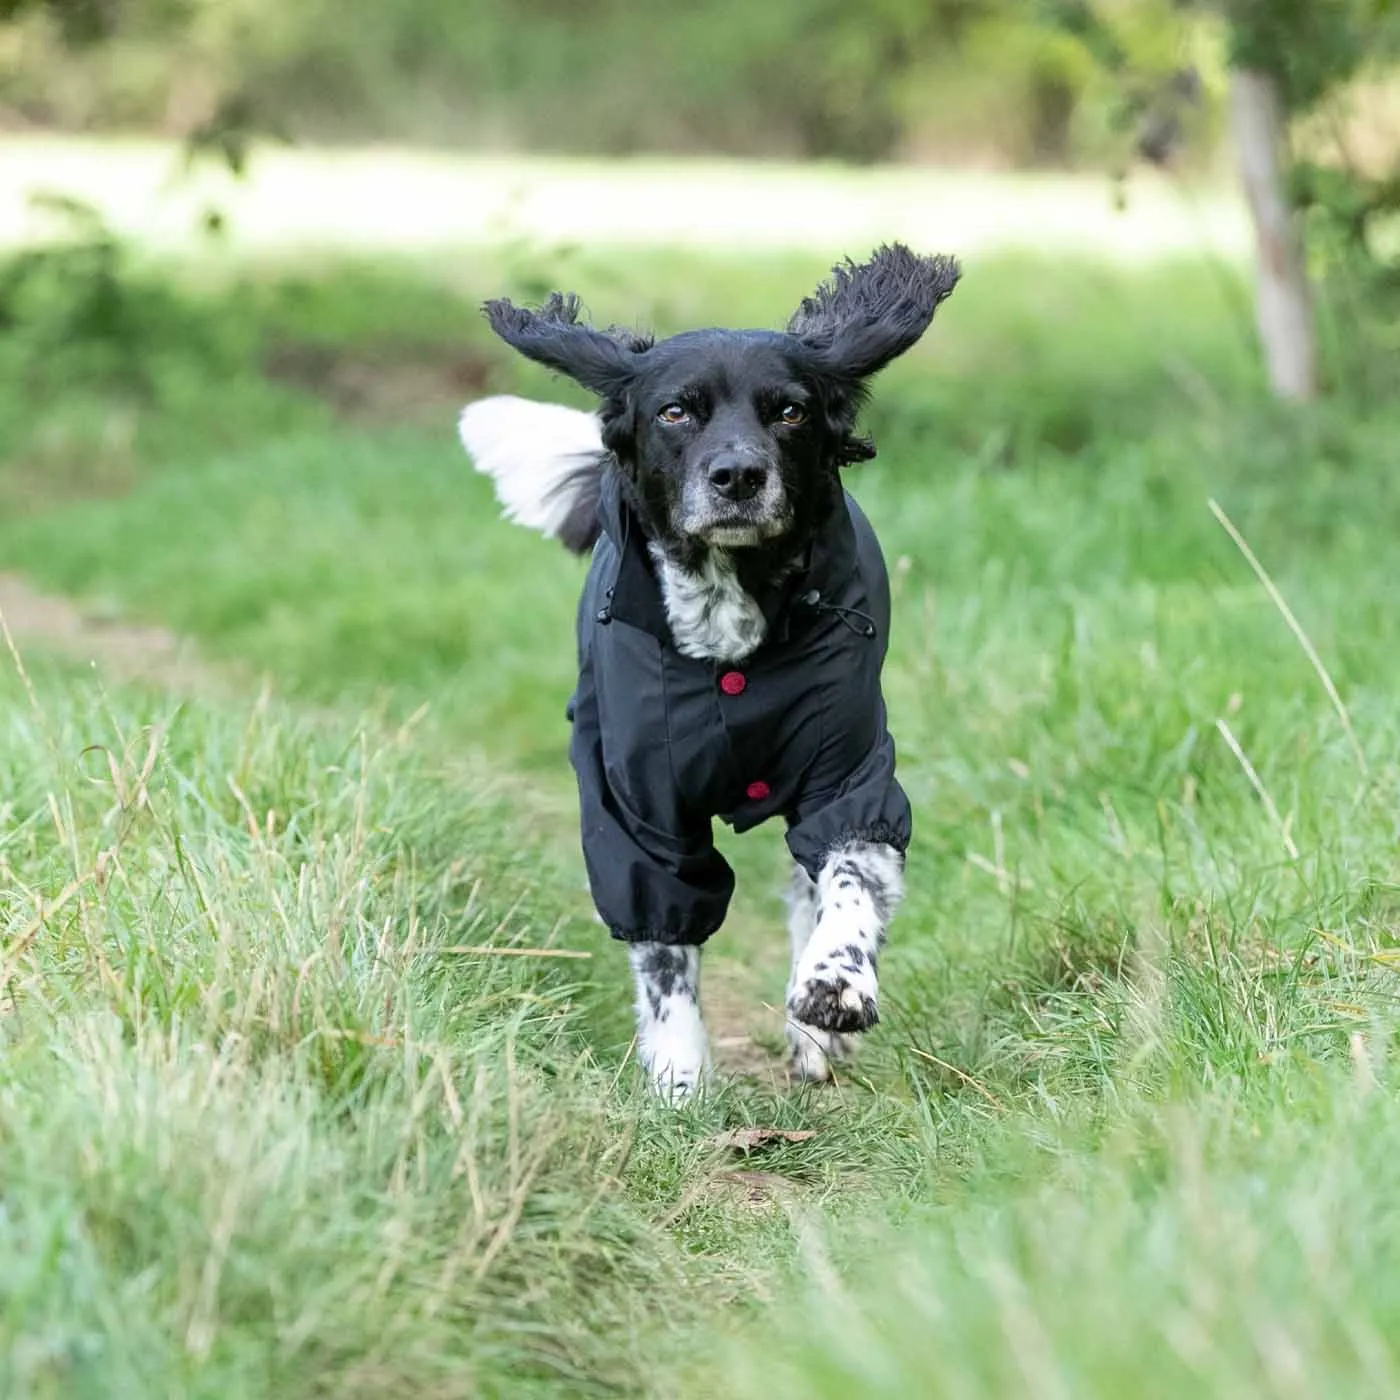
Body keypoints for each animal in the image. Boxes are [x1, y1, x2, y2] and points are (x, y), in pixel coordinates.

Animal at [459, 243, 963, 1092]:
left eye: (789, 411)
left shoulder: (849, 776)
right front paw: (679, 1080)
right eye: (675, 412)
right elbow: (665, 948)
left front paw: (834, 988)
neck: (732, 629)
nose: (737, 477)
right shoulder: (637, 810)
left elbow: (848, 883)